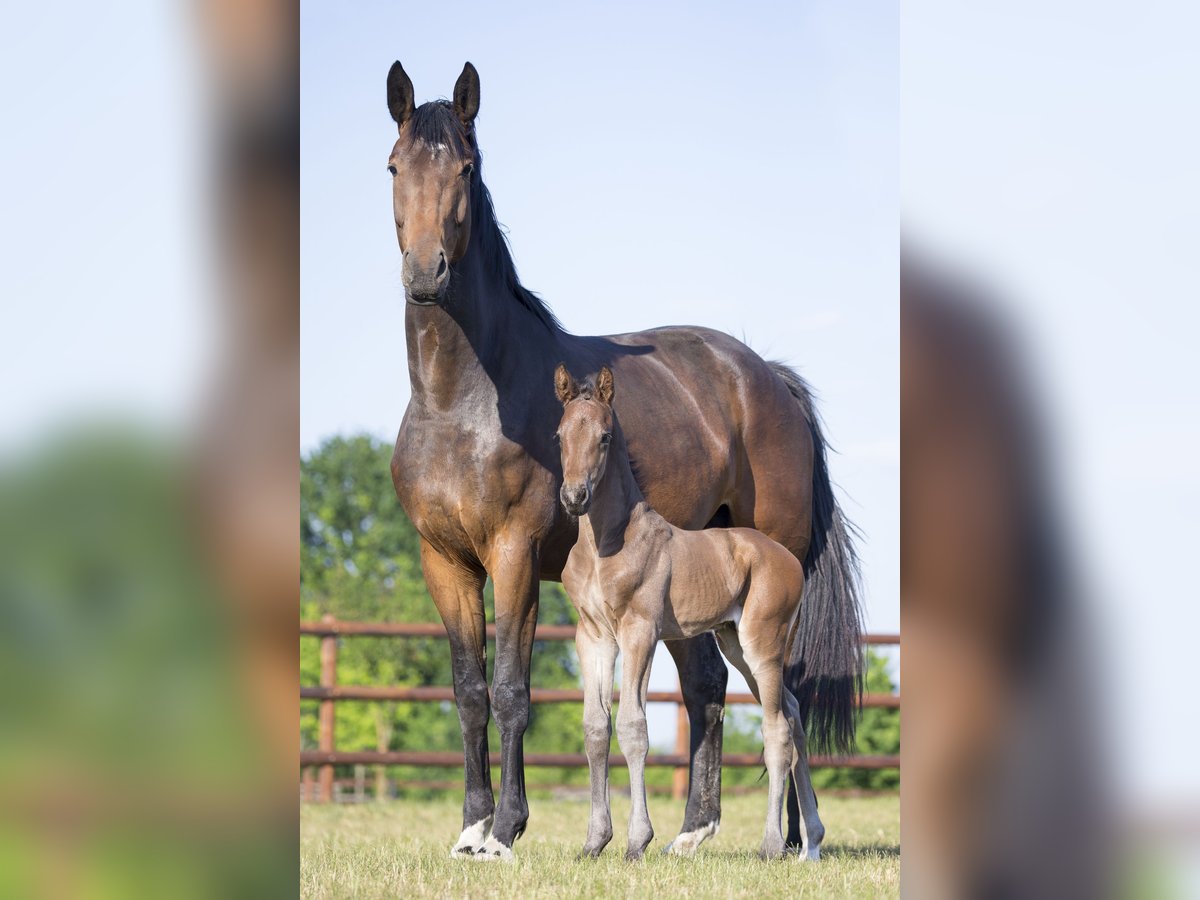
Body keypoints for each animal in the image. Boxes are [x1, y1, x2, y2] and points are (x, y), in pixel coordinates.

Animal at [552, 367, 825, 868]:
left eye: (604, 436)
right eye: (560, 435)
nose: (575, 496)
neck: (607, 541)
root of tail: (789, 560)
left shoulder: (640, 631)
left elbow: (633, 726)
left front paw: (637, 841)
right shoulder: (593, 636)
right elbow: (596, 727)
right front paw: (594, 842)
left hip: (763, 643)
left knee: (777, 729)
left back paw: (772, 845)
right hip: (737, 645)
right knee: (793, 713)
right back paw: (812, 841)